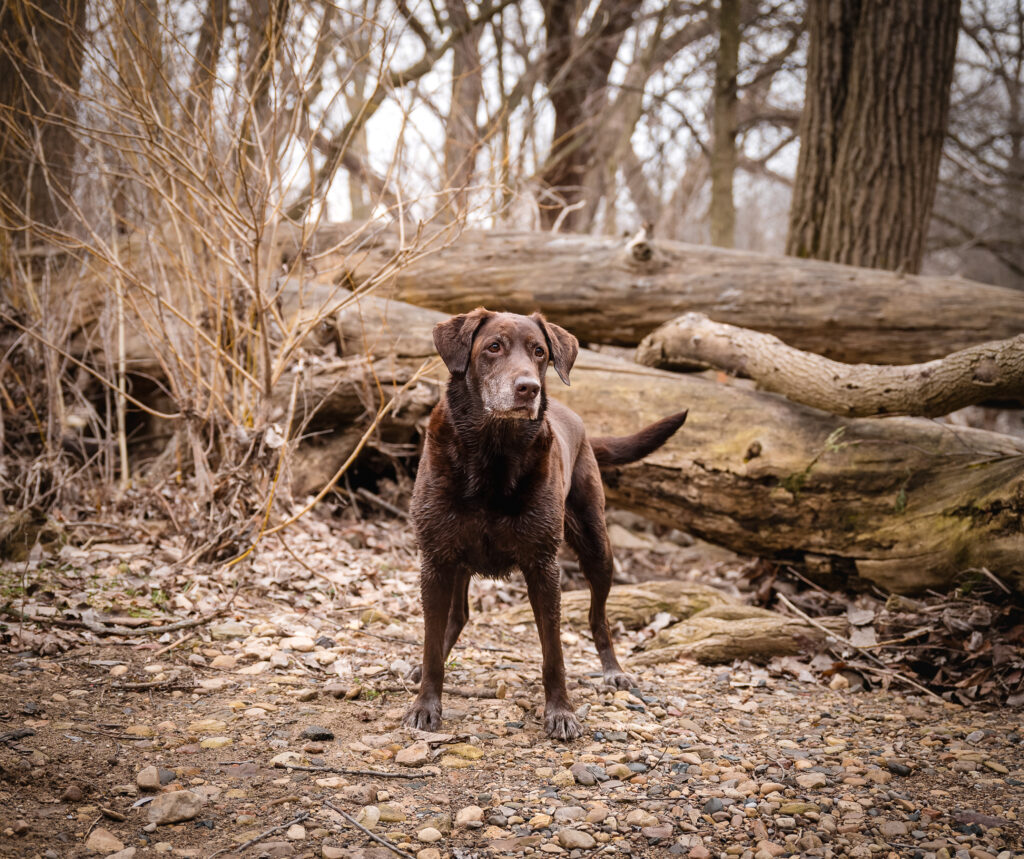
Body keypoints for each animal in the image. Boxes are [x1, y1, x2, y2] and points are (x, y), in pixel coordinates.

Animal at [401, 309, 688, 737]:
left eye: (539, 352)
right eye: (494, 347)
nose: (529, 388)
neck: (492, 452)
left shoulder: (543, 566)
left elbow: (553, 652)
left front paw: (560, 711)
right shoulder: (435, 559)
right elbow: (431, 642)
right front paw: (425, 704)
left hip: (597, 548)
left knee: (598, 617)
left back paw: (613, 671)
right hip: (458, 561)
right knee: (457, 617)